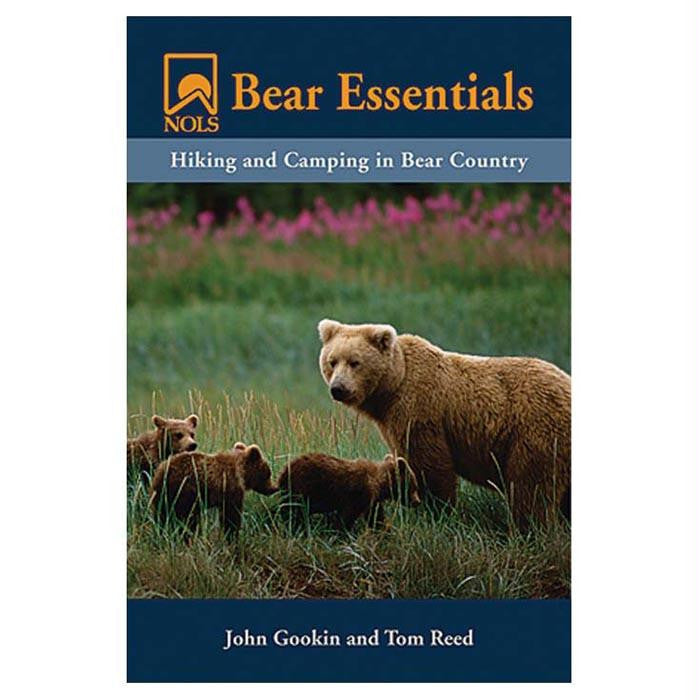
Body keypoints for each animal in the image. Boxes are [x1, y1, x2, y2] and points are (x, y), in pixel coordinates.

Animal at [277, 452, 421, 530]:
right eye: (414, 485)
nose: (417, 501)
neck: (379, 483)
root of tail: (283, 472)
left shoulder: (373, 500)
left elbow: (375, 518)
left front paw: (386, 529)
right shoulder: (359, 494)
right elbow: (346, 516)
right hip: (302, 488)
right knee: (293, 511)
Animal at [317, 319, 571, 528]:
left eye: (355, 362)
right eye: (332, 361)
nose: (338, 388)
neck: (392, 388)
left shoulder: (419, 409)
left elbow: (430, 466)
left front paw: (436, 511)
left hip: (535, 432)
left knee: (530, 488)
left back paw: (527, 528)